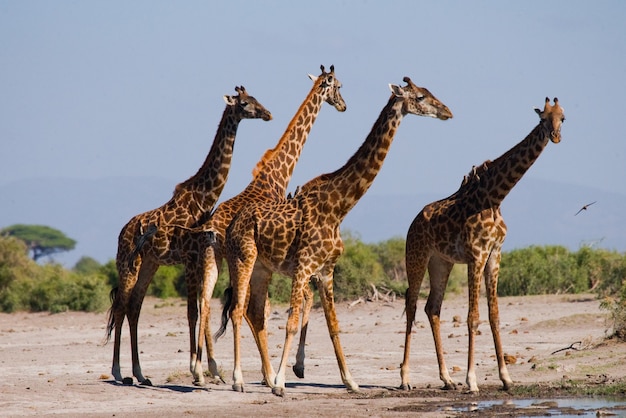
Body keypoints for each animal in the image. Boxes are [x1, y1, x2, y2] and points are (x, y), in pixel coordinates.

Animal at [105, 85, 270, 386]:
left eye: (255, 99)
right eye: (244, 103)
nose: (267, 113)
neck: (202, 201)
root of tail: (121, 232)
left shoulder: (195, 259)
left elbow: (200, 309)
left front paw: (208, 370)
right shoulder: (191, 259)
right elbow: (194, 311)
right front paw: (200, 372)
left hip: (150, 264)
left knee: (134, 307)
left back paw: (141, 373)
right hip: (128, 264)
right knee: (121, 307)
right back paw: (119, 372)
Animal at [176, 63, 344, 384]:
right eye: (339, 86)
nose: (343, 105)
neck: (277, 174)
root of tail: (210, 226)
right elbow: (284, 304)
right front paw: (291, 368)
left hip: (213, 258)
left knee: (206, 302)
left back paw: (203, 370)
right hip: (237, 259)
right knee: (239, 308)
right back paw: (235, 373)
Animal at [217, 77, 450, 396]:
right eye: (421, 97)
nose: (447, 112)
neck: (339, 206)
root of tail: (232, 225)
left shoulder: (327, 270)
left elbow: (333, 325)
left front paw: (350, 381)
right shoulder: (304, 267)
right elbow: (291, 322)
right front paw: (281, 383)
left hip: (263, 269)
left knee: (254, 313)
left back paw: (259, 376)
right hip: (242, 258)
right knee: (238, 309)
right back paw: (239, 380)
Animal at [400, 97, 564, 392]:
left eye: (563, 118)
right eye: (543, 119)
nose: (555, 136)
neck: (495, 197)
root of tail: (414, 221)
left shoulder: (494, 254)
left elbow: (494, 315)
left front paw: (506, 378)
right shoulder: (476, 255)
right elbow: (472, 316)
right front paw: (472, 380)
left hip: (441, 262)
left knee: (433, 308)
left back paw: (447, 379)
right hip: (416, 256)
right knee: (412, 304)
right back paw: (405, 378)